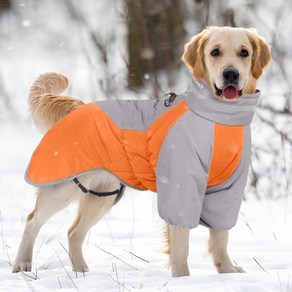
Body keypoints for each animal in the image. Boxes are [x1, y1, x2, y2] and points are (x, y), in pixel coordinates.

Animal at [12, 26, 272, 278]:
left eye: (244, 53)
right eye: (215, 52)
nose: (231, 74)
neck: (218, 119)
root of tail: (77, 108)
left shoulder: (227, 190)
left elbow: (220, 236)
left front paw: (227, 272)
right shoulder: (180, 187)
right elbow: (181, 245)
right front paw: (183, 279)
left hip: (103, 195)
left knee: (73, 231)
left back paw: (82, 271)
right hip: (63, 186)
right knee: (32, 220)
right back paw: (23, 264)